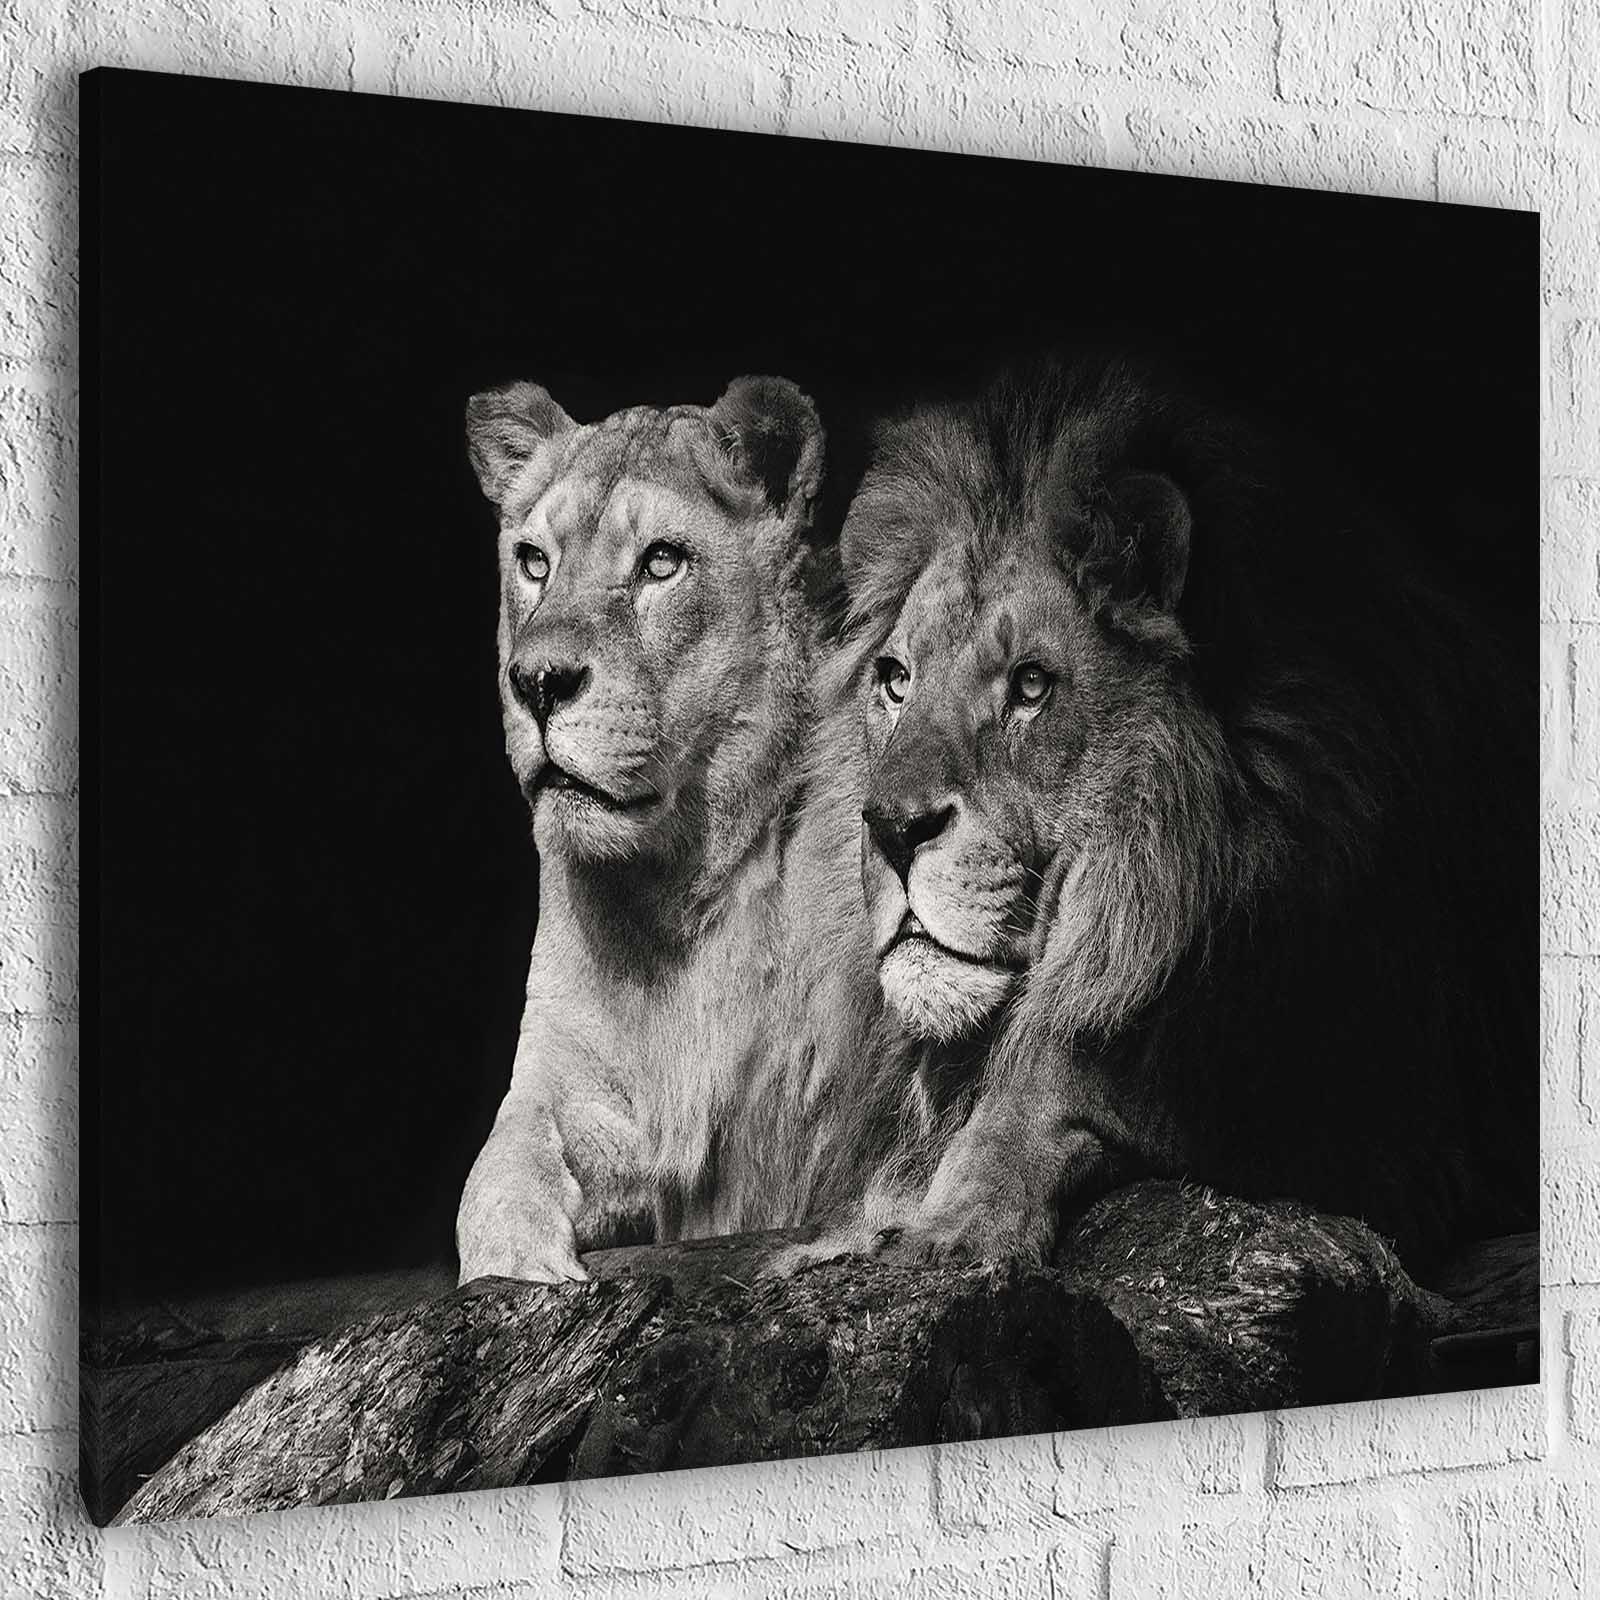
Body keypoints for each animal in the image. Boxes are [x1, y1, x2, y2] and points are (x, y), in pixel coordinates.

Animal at [806, 355, 1535, 1276]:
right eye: (896, 680)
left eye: (1032, 685)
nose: (894, 829)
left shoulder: (1381, 1128)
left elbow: (1064, 1066)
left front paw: (951, 1217)